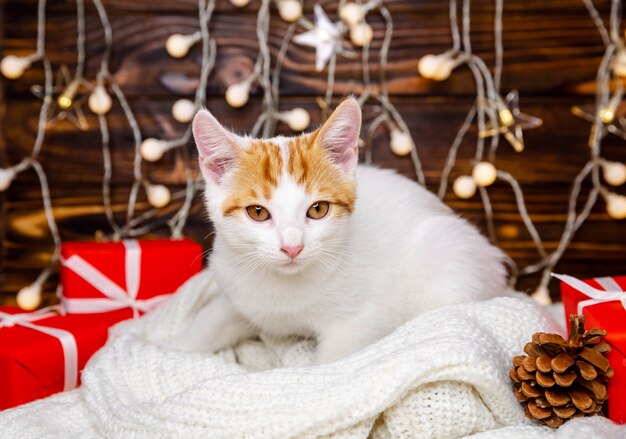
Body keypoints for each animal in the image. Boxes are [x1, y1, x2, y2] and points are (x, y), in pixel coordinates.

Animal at [171, 99, 508, 364]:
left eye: (318, 209)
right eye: (258, 213)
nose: (292, 247)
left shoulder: (360, 321)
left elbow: (334, 367)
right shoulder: (235, 289)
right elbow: (212, 319)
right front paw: (171, 349)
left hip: (449, 257)